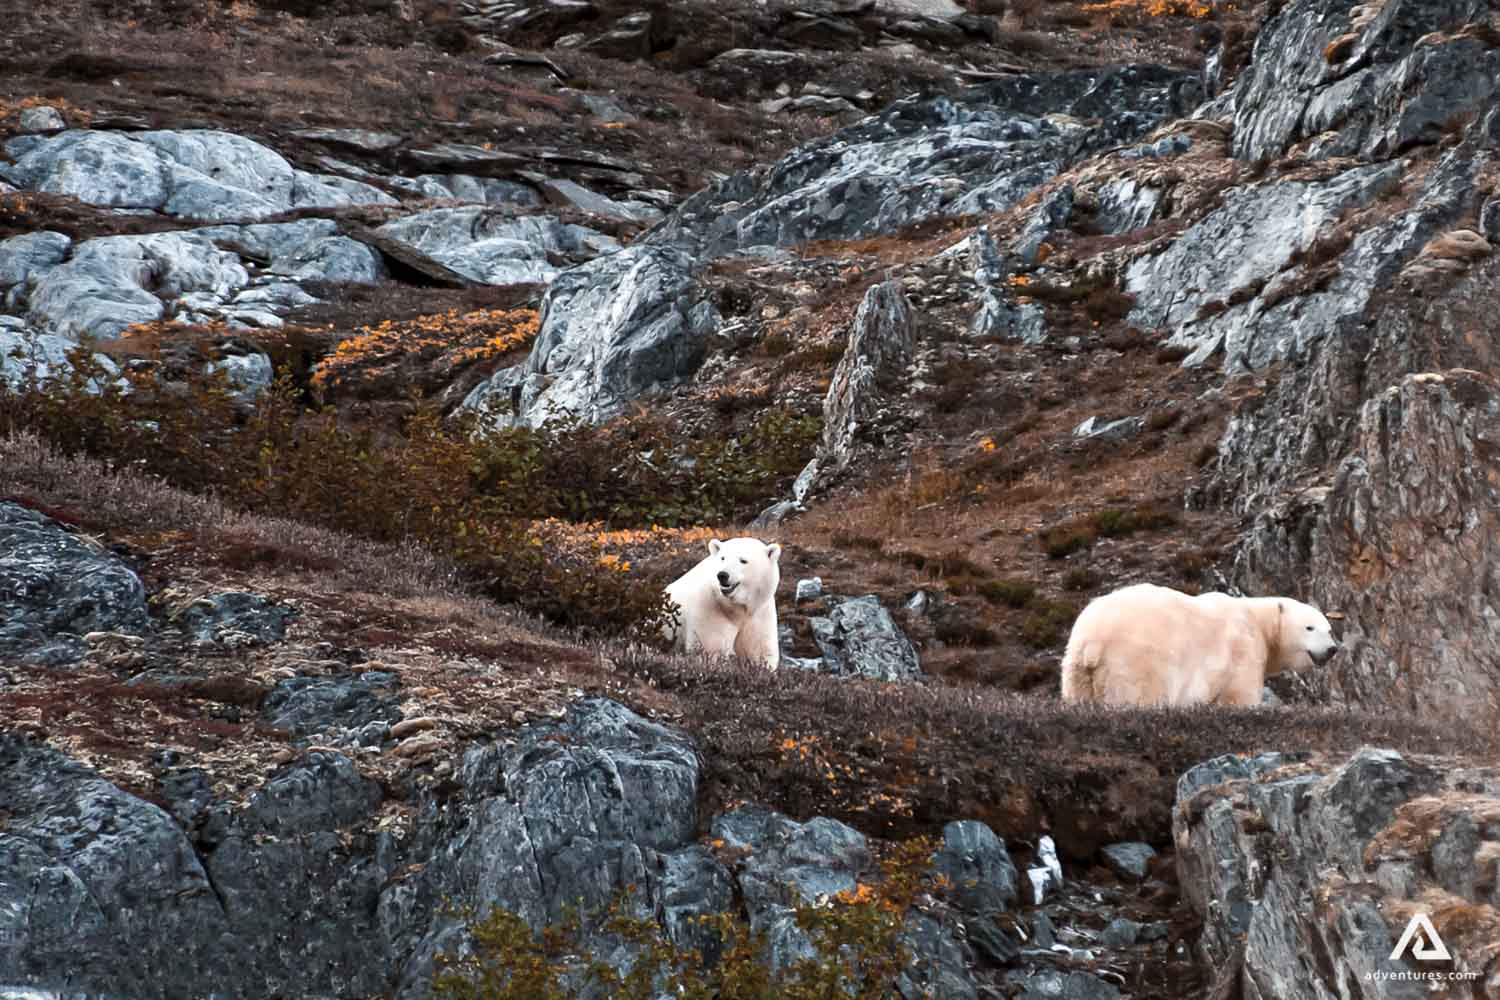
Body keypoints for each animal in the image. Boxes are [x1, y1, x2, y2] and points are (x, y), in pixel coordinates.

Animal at [662, 537, 782, 668]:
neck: (736, 609)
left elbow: (760, 651)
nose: (722, 575)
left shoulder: (759, 614)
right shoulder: (709, 609)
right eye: (723, 558)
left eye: (743, 560)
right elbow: (711, 648)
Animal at [1059, 583, 1340, 707]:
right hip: (1135, 663)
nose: (1331, 649)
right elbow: (1239, 695)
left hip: (1075, 668)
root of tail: (1093, 641)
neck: (1258, 621)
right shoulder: (1242, 648)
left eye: (1329, 629)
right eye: (1309, 627)